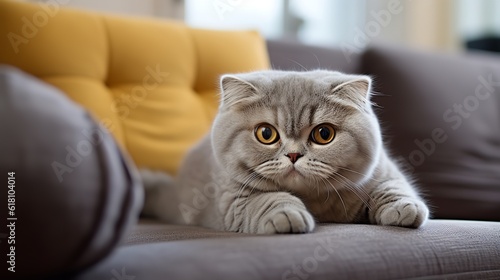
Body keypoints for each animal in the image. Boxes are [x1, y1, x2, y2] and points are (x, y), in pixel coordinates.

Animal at [141, 70, 430, 234]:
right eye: (266, 134)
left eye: (324, 134)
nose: (293, 155)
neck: (315, 202)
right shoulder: (231, 199)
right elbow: (266, 199)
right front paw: (288, 215)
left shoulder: (384, 170)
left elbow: (393, 186)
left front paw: (404, 208)